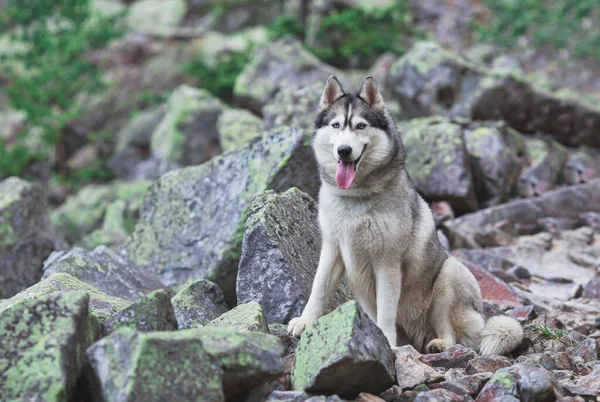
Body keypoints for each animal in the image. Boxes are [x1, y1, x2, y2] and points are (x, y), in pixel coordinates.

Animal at [288, 75, 524, 354]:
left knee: (451, 332)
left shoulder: (387, 264)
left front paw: (385, 340)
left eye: (360, 125)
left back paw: (439, 344)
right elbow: (319, 288)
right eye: (336, 125)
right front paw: (305, 321)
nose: (344, 150)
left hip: (450, 274)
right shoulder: (332, 249)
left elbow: (387, 311)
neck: (356, 198)